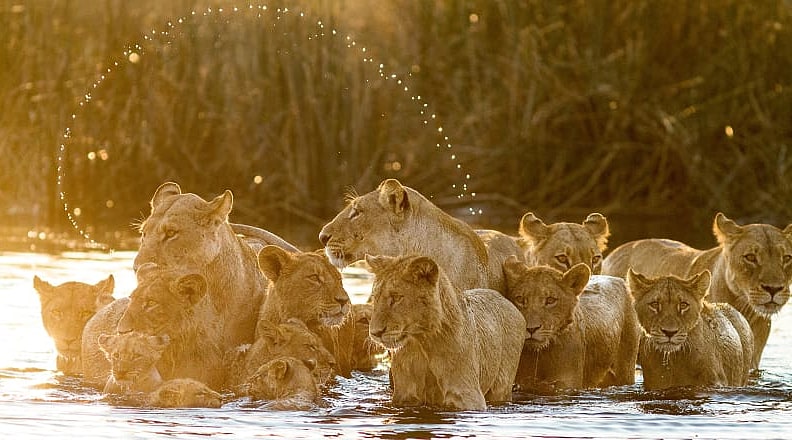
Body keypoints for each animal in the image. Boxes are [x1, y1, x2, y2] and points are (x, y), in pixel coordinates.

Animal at [365, 254, 525, 410]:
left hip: (502, 387)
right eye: (375, 298)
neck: (423, 343)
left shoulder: (468, 396)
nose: (375, 333)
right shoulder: (405, 396)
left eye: (397, 297)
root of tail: (505, 299)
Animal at [502, 257, 640, 393]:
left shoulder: (566, 384)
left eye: (550, 300)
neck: (540, 355)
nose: (531, 328)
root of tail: (617, 279)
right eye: (520, 299)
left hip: (625, 369)